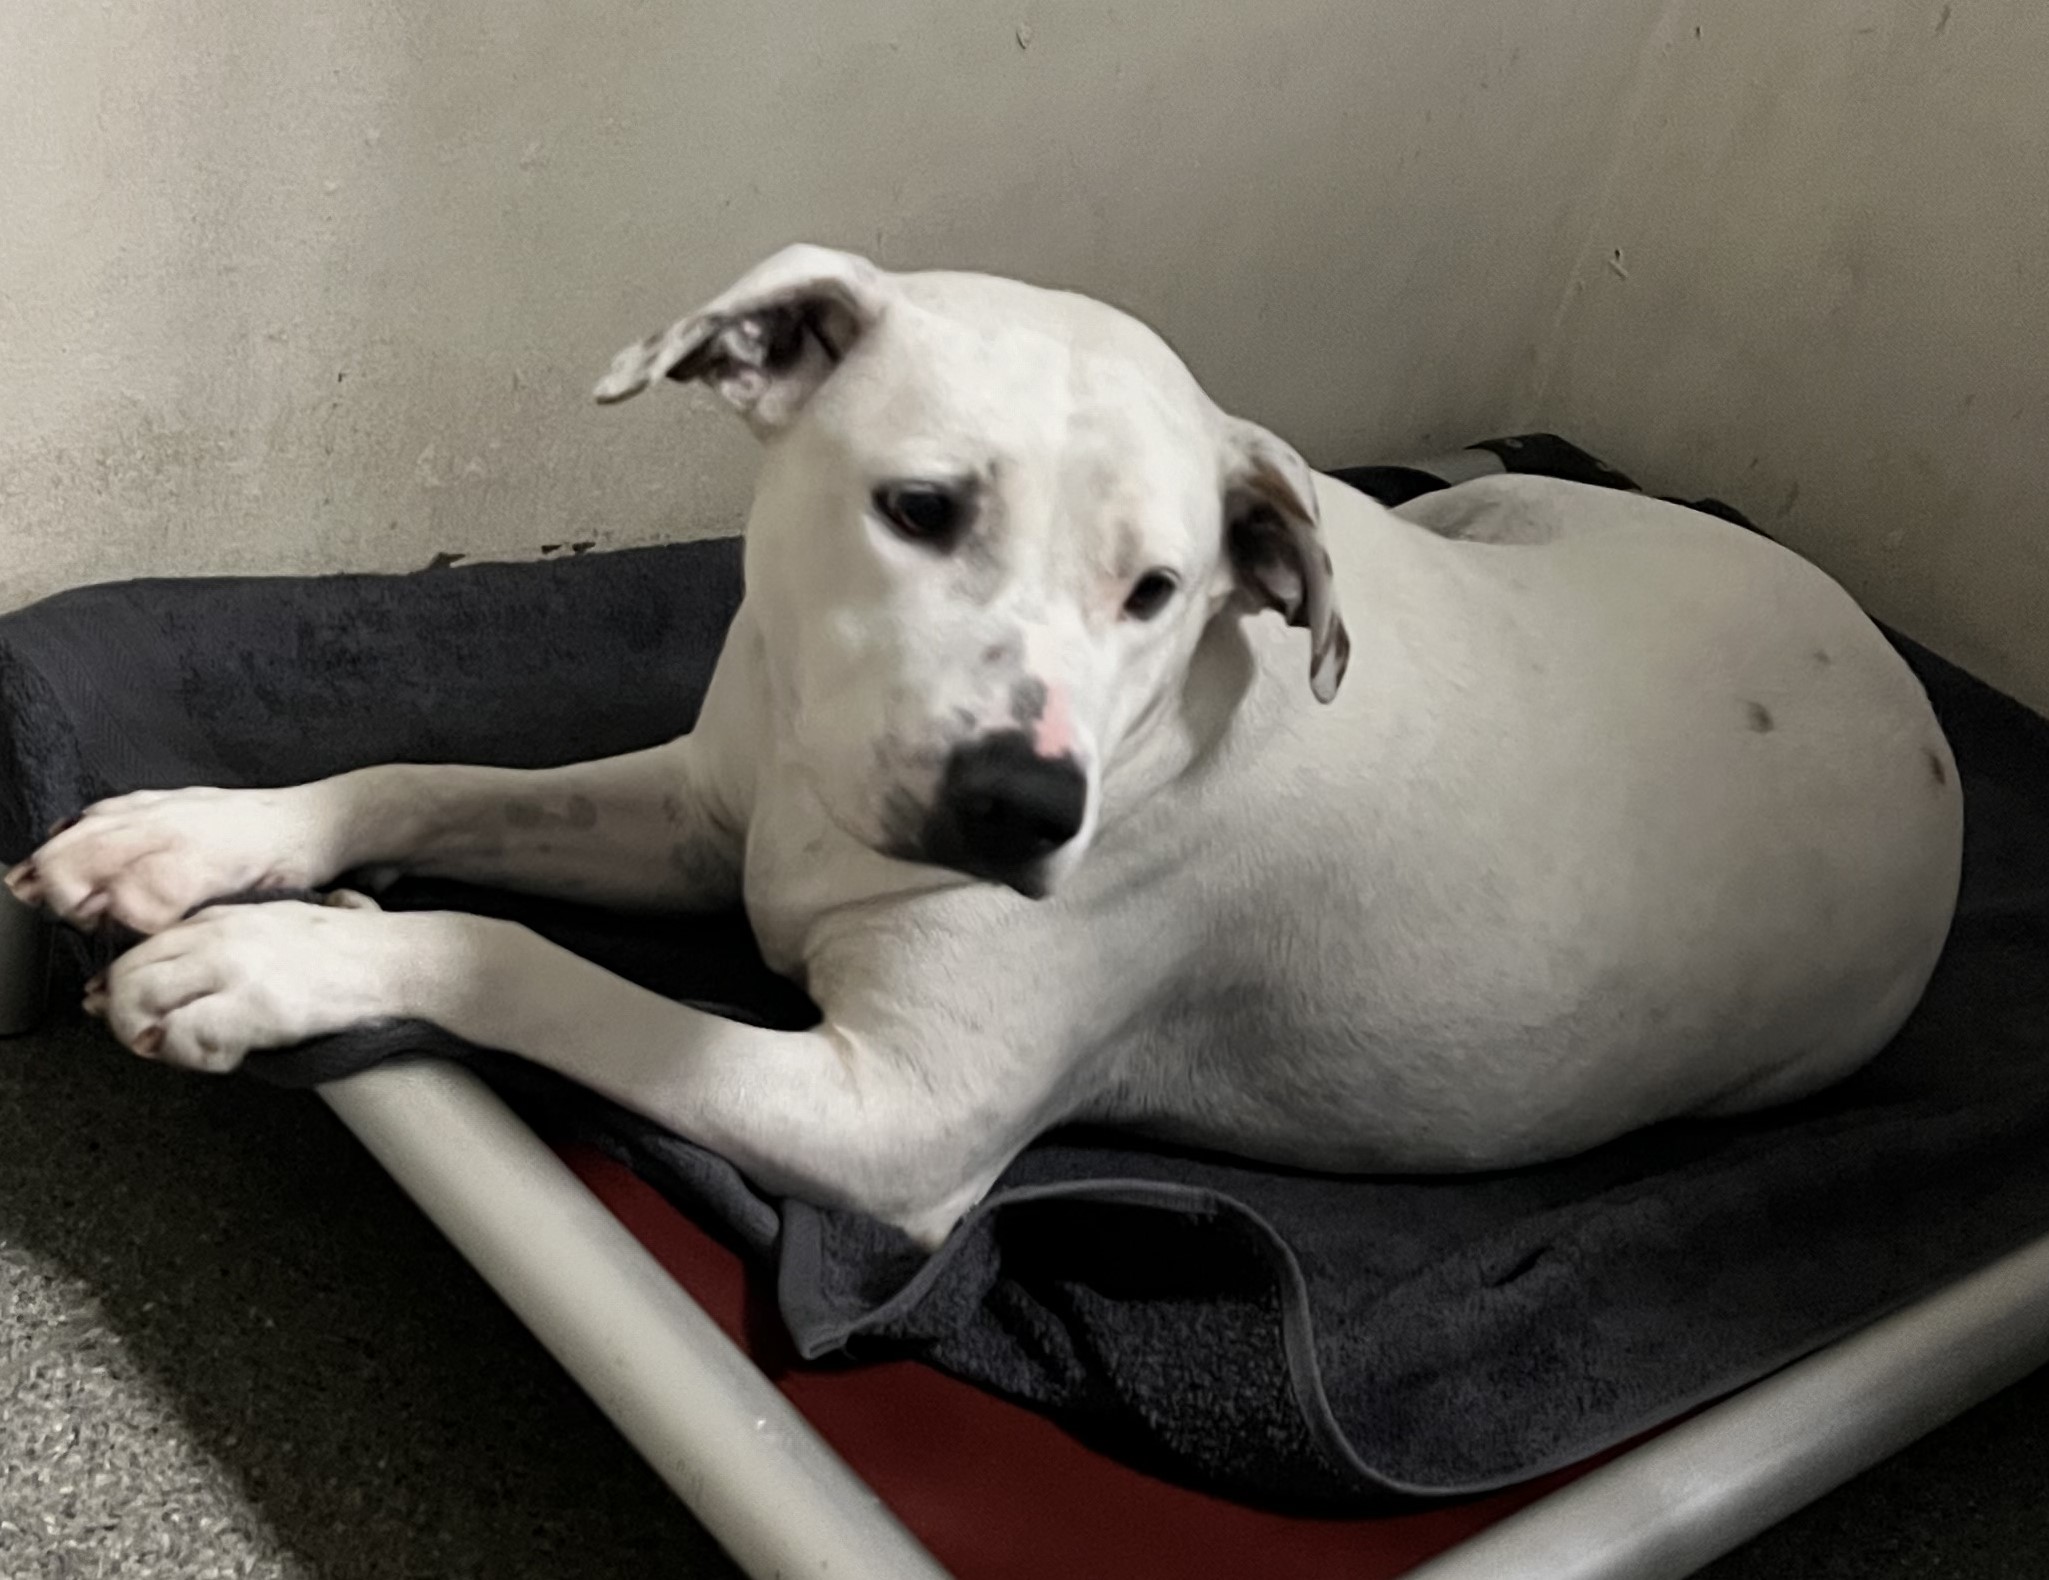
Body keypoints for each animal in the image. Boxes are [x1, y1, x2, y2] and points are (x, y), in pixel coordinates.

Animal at [4, 246, 1964, 1246]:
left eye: (1157, 589)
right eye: (921, 507)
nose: (1023, 803)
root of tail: (1913, 702)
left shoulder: (896, 1124)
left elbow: (519, 957)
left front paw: (261, 965)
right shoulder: (702, 809)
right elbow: (424, 782)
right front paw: (194, 842)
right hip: (1492, 506)